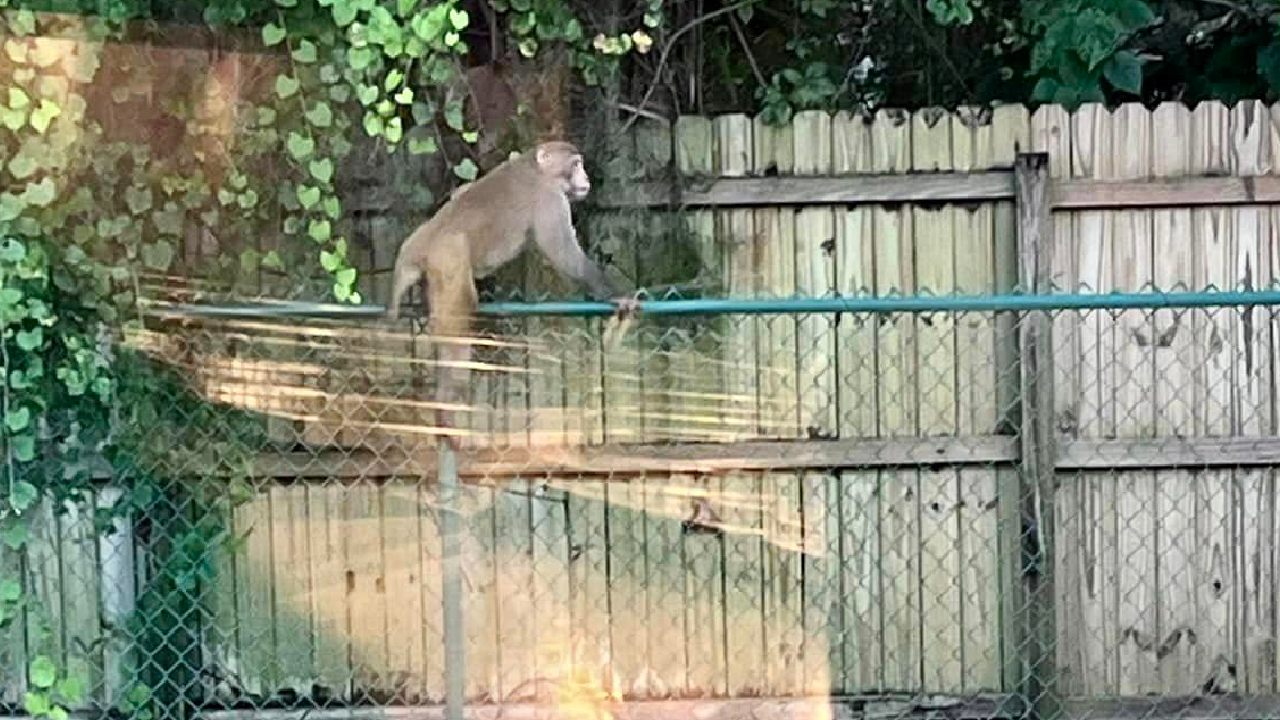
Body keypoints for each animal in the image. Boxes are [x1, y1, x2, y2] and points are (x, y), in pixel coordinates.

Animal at [386, 140, 638, 449]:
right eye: (576, 164)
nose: (586, 178)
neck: (537, 168)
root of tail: (420, 244)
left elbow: (461, 191)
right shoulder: (550, 200)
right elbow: (565, 256)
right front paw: (614, 294)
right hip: (449, 260)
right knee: (457, 332)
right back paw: (445, 408)